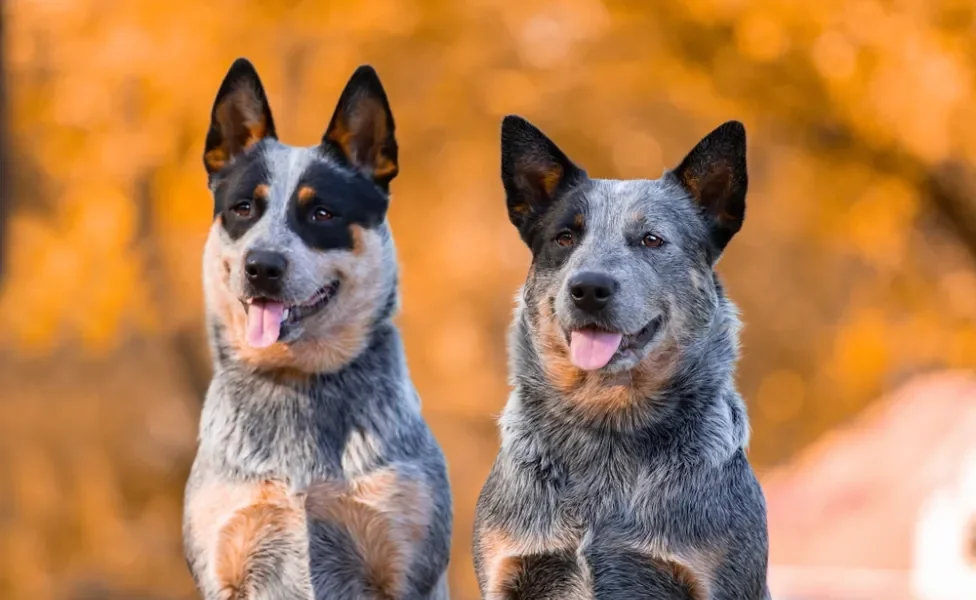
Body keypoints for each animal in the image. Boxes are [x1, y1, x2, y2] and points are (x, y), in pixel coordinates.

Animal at [184, 57, 454, 600]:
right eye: (243, 207)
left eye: (322, 212)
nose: (262, 266)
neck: (296, 382)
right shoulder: (225, 560)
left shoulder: (402, 562)